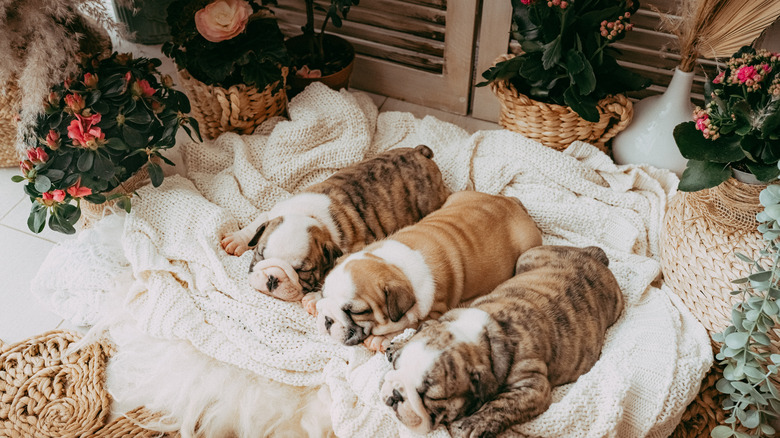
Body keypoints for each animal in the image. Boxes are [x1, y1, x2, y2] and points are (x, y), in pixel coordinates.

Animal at [219, 145, 450, 310]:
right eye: (260, 255)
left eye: (302, 271)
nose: (273, 278)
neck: (308, 215)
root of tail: (420, 153)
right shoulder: (273, 212)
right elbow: (258, 221)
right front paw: (237, 240)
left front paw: (315, 297)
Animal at [314, 192, 540, 352]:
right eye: (324, 294)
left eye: (357, 312)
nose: (327, 319)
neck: (394, 267)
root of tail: (512, 202)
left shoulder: (434, 311)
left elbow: (409, 326)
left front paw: (381, 338)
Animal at [380, 245, 624, 436]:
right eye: (397, 367)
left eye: (433, 397)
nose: (395, 395)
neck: (476, 335)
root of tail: (594, 257)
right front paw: (399, 343)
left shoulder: (532, 387)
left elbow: (501, 404)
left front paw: (474, 423)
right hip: (527, 256)